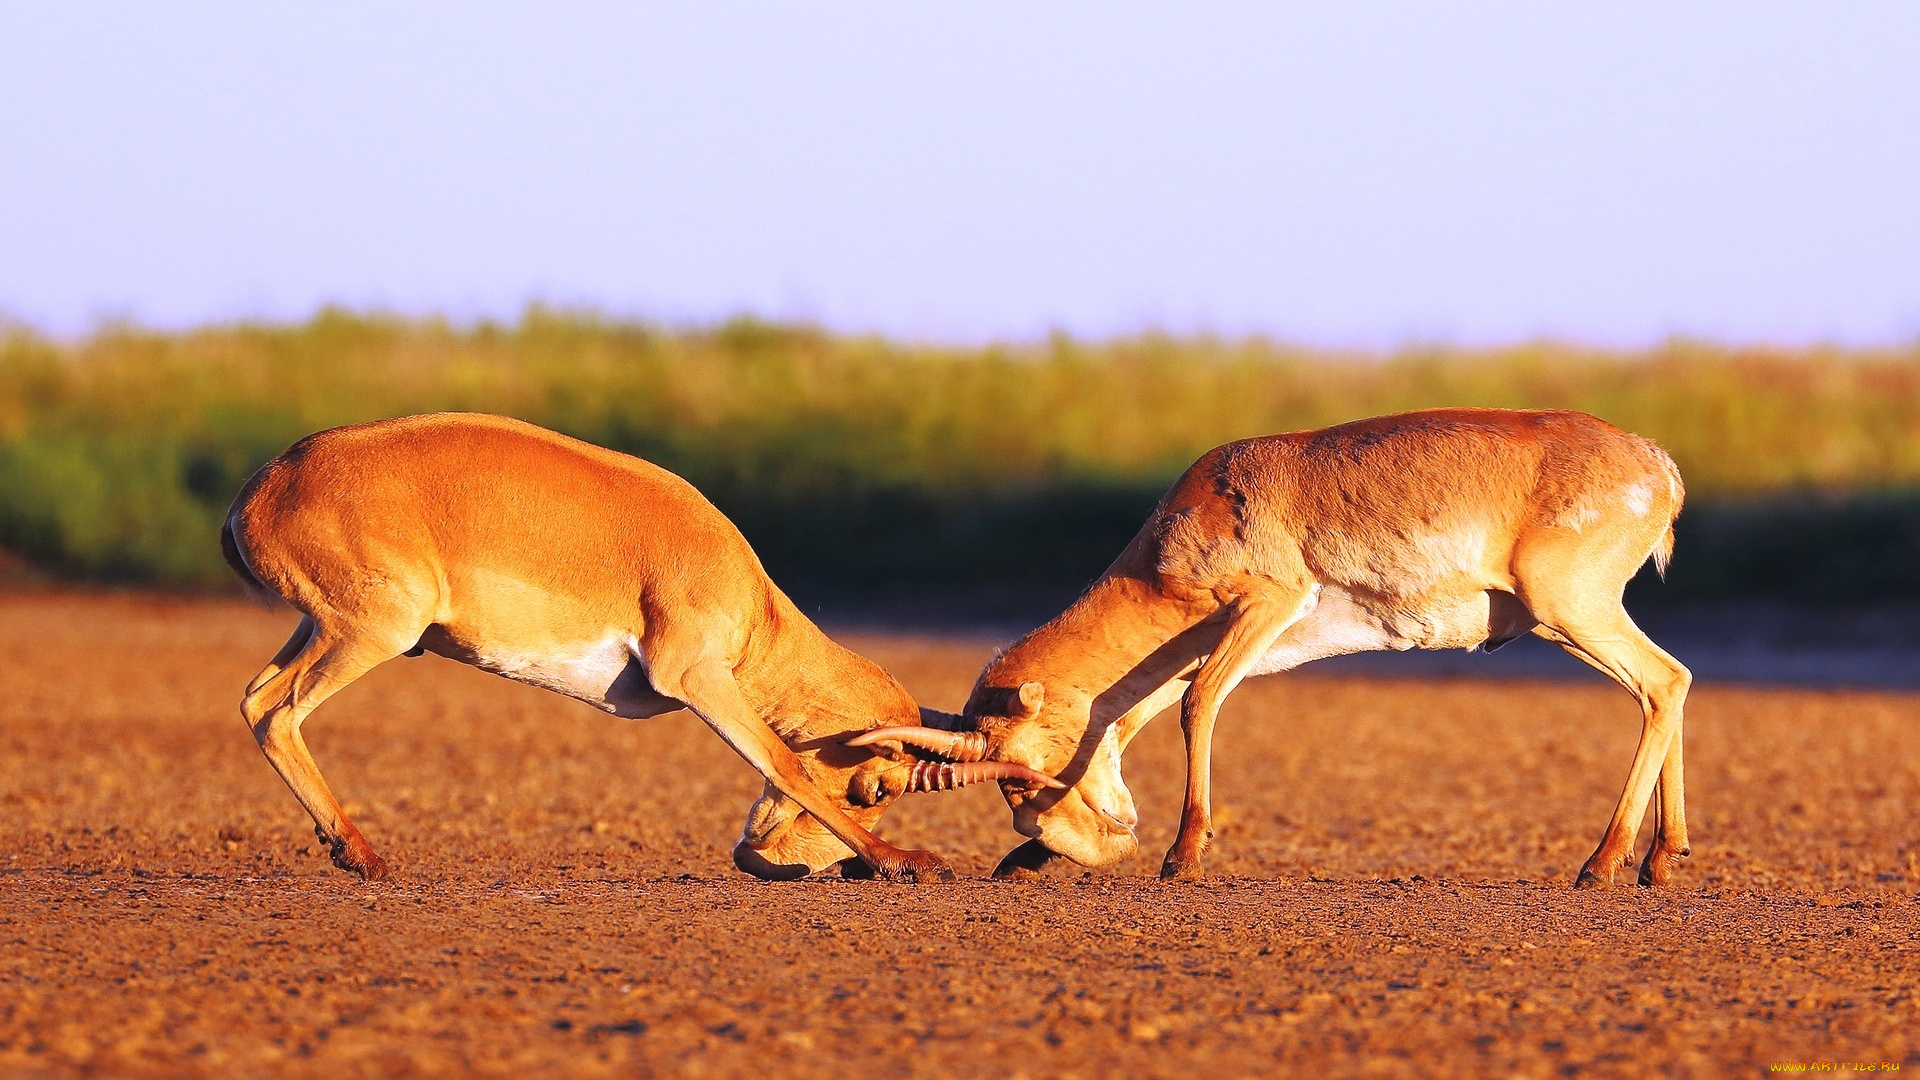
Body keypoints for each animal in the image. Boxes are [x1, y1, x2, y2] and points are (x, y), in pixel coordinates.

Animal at [230, 417, 1059, 880]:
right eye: (876, 790)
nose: (762, 859)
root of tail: (261, 488)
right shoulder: (697, 677)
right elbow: (782, 761)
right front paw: (906, 863)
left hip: (324, 627)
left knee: (255, 699)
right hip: (374, 630)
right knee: (276, 711)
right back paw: (363, 855)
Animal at [864, 407, 1689, 887]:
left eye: (1022, 769)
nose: (1104, 842)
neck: (1189, 516)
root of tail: (1662, 465)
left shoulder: (1265, 604)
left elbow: (1197, 706)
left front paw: (1183, 855)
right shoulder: (1198, 642)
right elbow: (1125, 719)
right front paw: (1027, 861)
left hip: (1567, 612)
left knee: (1663, 682)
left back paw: (1601, 863)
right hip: (1568, 621)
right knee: (1669, 684)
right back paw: (1659, 857)